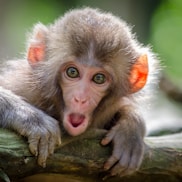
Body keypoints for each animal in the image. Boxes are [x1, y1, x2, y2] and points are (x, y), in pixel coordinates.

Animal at [0, 7, 159, 177]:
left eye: (99, 78)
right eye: (72, 72)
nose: (80, 98)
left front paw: (130, 130)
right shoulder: (23, 87)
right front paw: (31, 118)